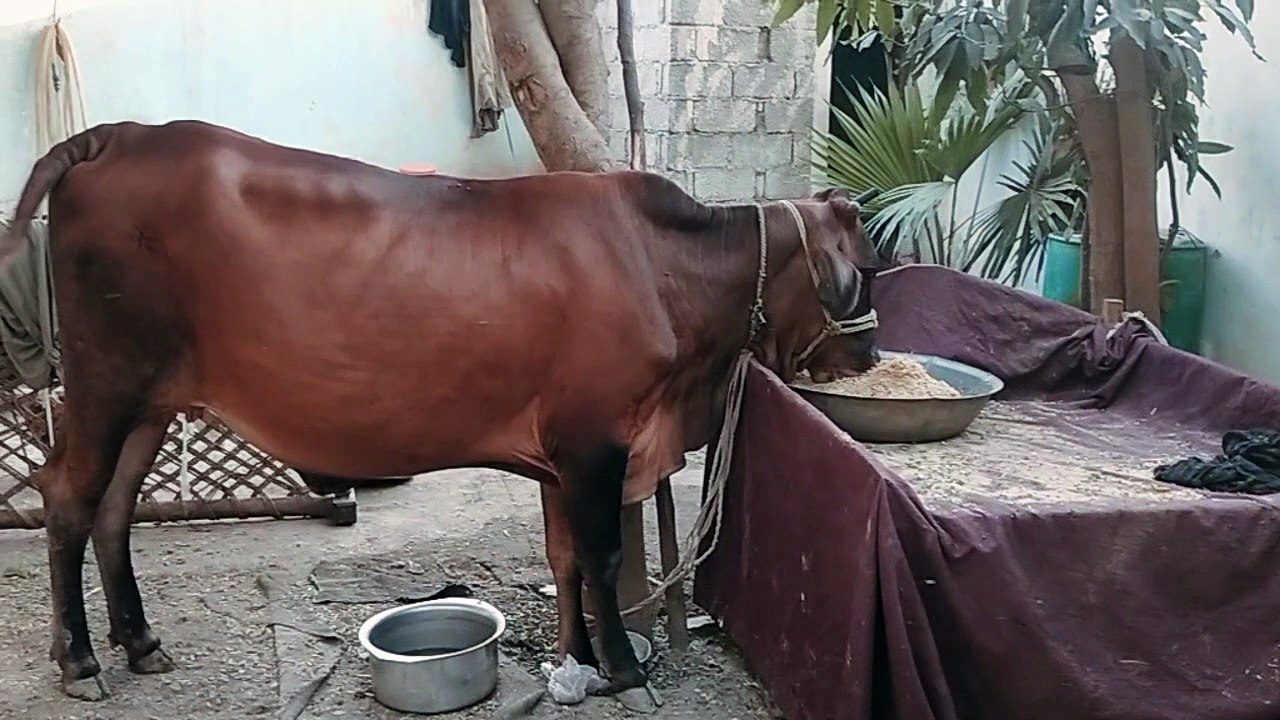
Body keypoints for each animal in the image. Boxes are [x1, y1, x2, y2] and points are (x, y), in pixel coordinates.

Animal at [3, 120, 881, 704]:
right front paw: (625, 671)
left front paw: (576, 659)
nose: (870, 355)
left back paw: (140, 642)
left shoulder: (557, 457)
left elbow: (563, 559)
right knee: (67, 498)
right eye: (866, 268)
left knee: (115, 510)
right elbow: (598, 558)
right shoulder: (595, 444)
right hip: (105, 383)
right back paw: (80, 661)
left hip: (150, 401)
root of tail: (116, 135)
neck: (667, 270)